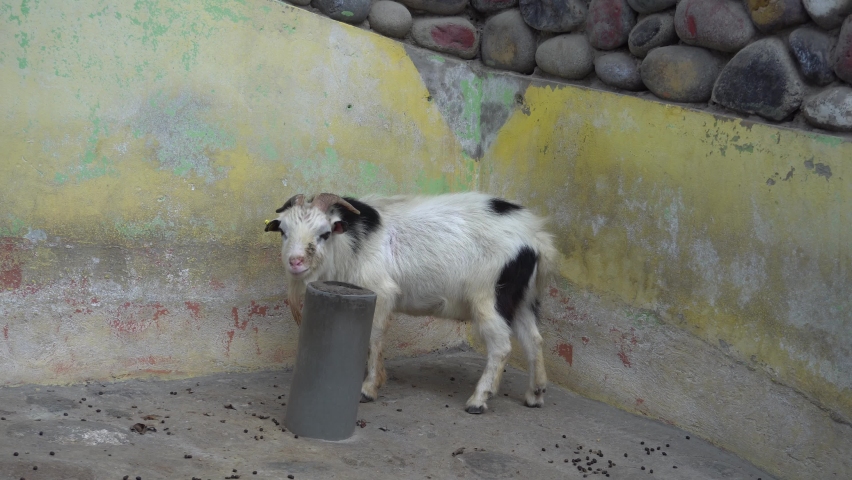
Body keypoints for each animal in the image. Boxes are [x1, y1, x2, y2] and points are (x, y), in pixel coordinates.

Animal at [265, 192, 557, 414]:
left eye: (324, 233)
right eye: (283, 231)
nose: (295, 262)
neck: (351, 243)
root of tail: (536, 238)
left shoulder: (381, 292)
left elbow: (374, 337)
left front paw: (369, 388)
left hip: (490, 297)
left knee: (501, 346)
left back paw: (478, 400)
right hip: (522, 300)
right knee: (534, 340)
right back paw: (535, 393)